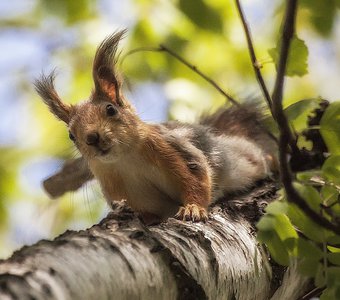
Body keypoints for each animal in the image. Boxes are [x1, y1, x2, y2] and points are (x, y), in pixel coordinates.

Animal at [34, 29, 276, 223]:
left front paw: (193, 208)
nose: (92, 138)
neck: (125, 159)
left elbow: (196, 179)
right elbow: (148, 211)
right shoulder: (121, 187)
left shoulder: (173, 150)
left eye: (111, 109)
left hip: (241, 155)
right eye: (71, 135)